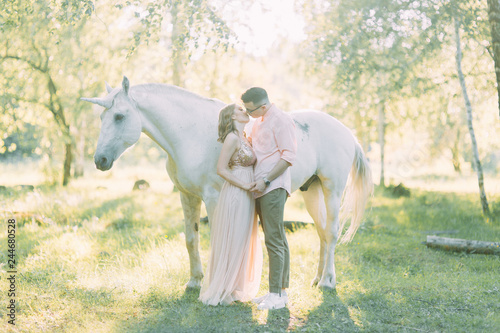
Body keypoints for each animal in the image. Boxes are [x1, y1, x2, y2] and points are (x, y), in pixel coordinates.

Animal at [83, 76, 372, 290]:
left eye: (119, 116)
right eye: (101, 118)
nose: (100, 160)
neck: (191, 134)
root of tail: (347, 132)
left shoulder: (212, 197)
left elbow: (216, 240)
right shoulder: (187, 196)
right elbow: (191, 238)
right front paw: (194, 282)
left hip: (332, 189)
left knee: (331, 232)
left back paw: (327, 282)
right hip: (311, 191)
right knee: (322, 232)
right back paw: (318, 277)